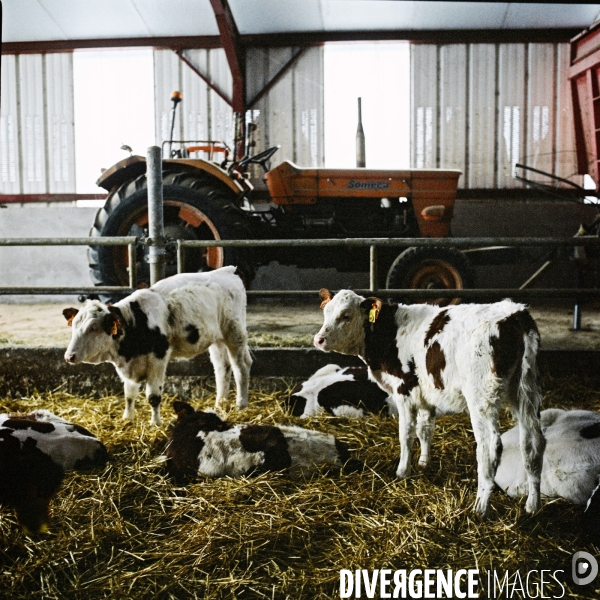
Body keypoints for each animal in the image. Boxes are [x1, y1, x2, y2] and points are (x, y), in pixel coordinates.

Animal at [64, 264, 252, 424]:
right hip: (217, 339)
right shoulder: (130, 366)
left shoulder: (158, 359)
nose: (69, 356)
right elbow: (129, 395)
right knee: (222, 368)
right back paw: (220, 404)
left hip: (234, 332)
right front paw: (127, 419)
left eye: (93, 328)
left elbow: (153, 397)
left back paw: (241, 404)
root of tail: (228, 271)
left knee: (240, 367)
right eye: (73, 326)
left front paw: (155, 423)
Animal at [316, 290, 548, 516]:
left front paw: (403, 471)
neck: (391, 332)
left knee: (490, 446)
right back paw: (532, 506)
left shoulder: (404, 390)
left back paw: (480, 508)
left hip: (482, 396)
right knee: (533, 443)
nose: (319, 339)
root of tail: (515, 313)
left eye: (346, 315)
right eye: (326, 311)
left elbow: (406, 434)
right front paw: (423, 463)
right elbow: (425, 430)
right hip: (526, 390)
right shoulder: (426, 394)